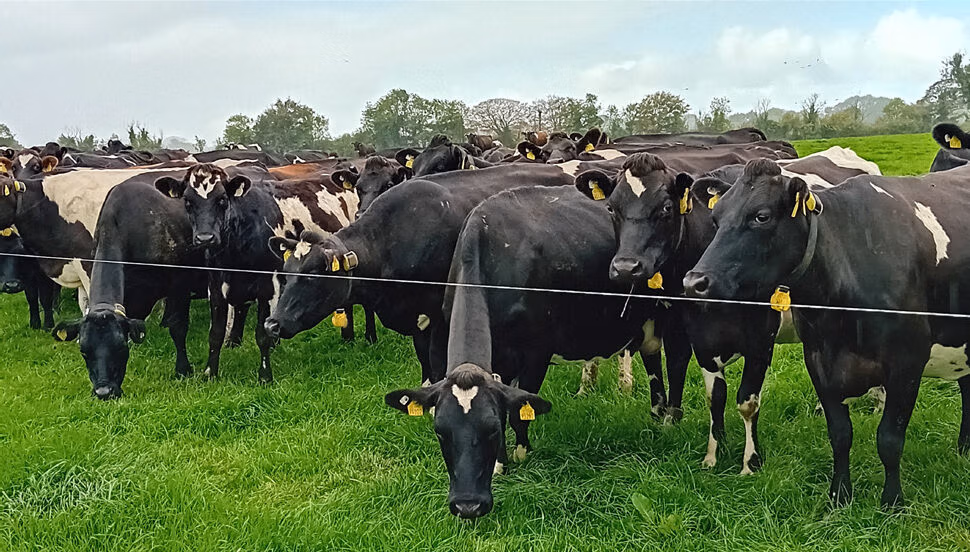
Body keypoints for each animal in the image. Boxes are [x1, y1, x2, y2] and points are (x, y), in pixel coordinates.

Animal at [263, 164, 575, 384]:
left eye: (315, 273)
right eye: (287, 273)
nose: (272, 324)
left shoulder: (436, 315)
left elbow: (436, 361)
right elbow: (423, 358)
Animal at [385, 184, 690, 518]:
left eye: (491, 430)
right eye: (441, 432)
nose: (468, 506)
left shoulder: (535, 354)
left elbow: (520, 411)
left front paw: (518, 453)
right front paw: (501, 463)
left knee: (670, 359)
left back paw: (665, 417)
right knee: (651, 355)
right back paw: (656, 411)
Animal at [575, 149, 880, 474]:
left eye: (666, 208)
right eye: (611, 208)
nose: (625, 267)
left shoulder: (761, 339)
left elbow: (747, 400)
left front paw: (750, 462)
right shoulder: (694, 332)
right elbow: (710, 392)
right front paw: (711, 449)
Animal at [683, 159, 970, 508]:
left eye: (761, 216)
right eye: (716, 218)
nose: (695, 282)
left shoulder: (907, 361)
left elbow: (889, 438)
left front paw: (892, 502)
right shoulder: (818, 360)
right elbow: (840, 434)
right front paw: (839, 495)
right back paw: (965, 448)